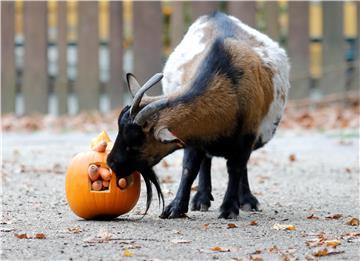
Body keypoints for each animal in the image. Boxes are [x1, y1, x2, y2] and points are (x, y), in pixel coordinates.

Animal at [107, 11, 290, 218]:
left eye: (135, 143)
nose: (111, 163)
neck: (228, 78)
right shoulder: (192, 135)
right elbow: (190, 167)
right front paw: (176, 207)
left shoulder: (247, 135)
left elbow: (235, 168)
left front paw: (229, 208)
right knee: (206, 161)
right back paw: (201, 198)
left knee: (240, 166)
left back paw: (246, 200)